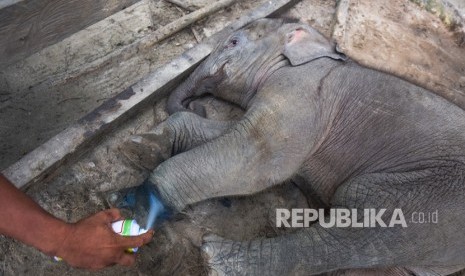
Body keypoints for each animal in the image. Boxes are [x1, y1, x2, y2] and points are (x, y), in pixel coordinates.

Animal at [122, 18, 464, 274]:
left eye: (233, 43)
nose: (198, 104)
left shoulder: (303, 90)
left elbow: (260, 152)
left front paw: (144, 206)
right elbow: (233, 133)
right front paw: (140, 148)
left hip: (434, 193)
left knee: (365, 224)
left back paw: (216, 260)